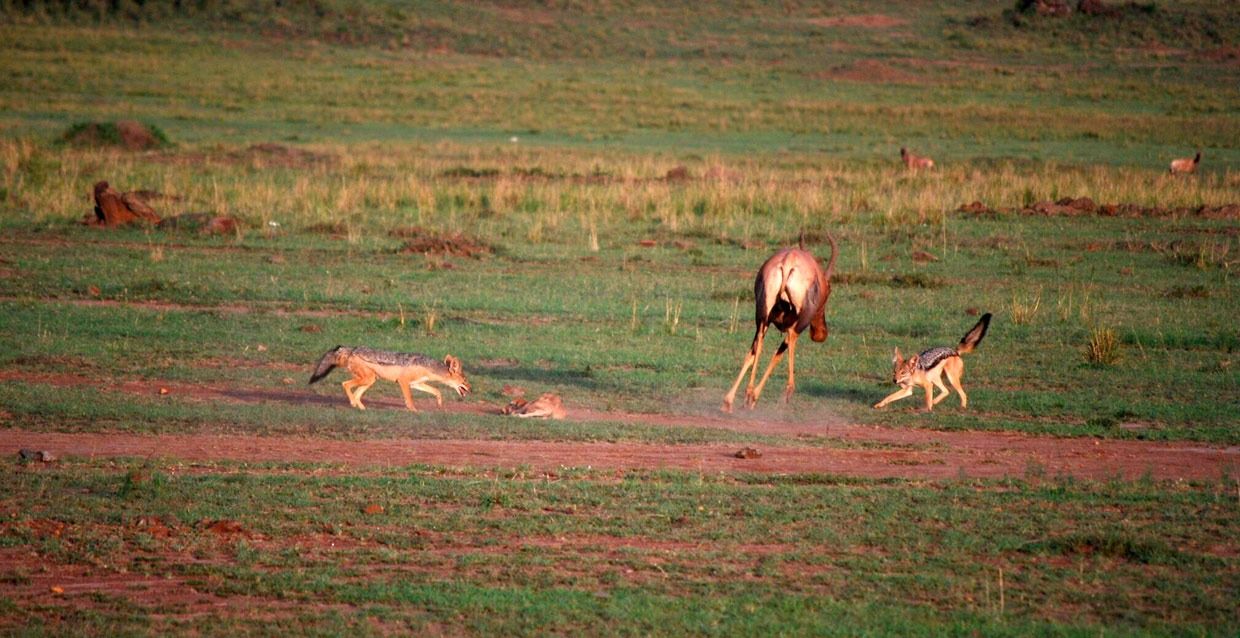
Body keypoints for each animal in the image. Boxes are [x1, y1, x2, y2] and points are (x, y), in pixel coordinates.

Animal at [724, 235, 838, 413]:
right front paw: (754, 398)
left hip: (762, 317)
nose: (820, 334)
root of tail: (788, 262)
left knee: (757, 346)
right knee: (789, 340)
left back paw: (744, 394)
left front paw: (734, 400)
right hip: (798, 322)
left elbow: (755, 353)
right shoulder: (797, 324)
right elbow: (779, 353)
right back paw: (785, 392)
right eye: (829, 291)